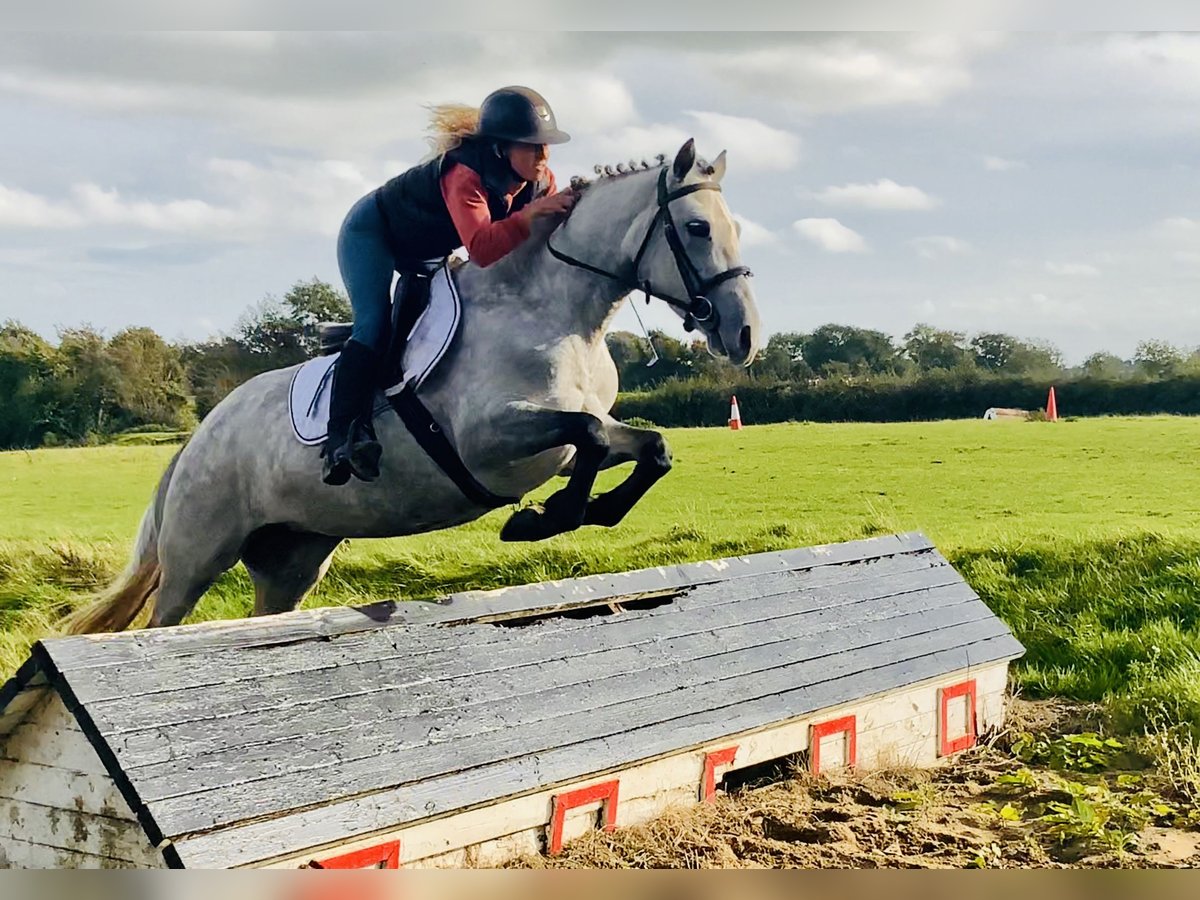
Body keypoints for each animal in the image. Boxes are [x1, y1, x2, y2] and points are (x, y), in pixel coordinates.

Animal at [63, 138, 761, 634]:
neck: (557, 313)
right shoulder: (489, 439)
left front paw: (575, 512)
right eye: (697, 228)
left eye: (737, 229)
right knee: (162, 621)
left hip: (293, 558)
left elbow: (647, 447)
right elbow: (588, 433)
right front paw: (545, 518)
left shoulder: (566, 439)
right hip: (197, 554)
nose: (745, 334)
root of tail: (198, 439)